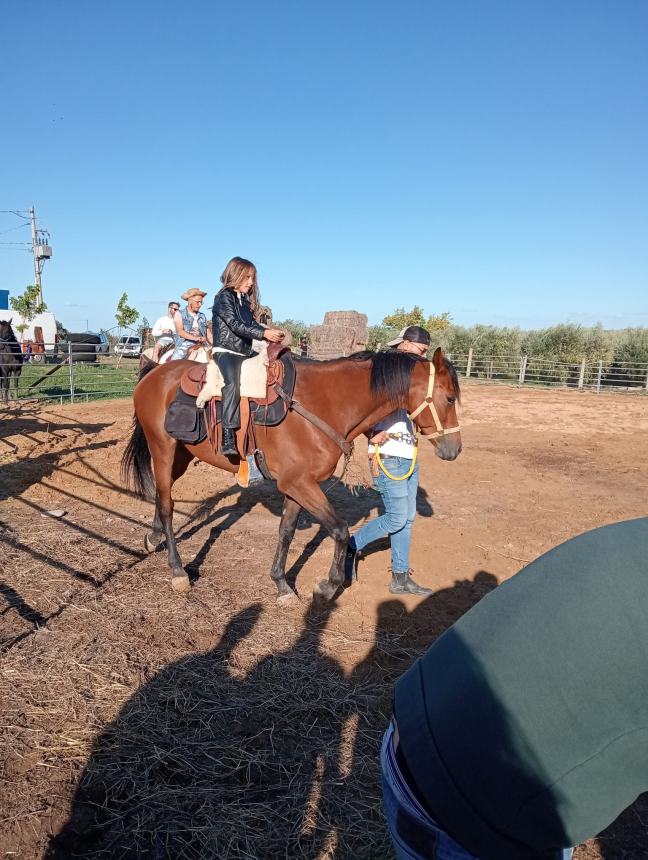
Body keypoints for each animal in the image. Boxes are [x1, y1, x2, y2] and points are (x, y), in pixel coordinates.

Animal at [121, 346, 464, 600]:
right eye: (449, 398)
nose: (455, 449)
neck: (323, 404)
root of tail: (155, 372)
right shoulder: (299, 484)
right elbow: (340, 530)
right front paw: (328, 586)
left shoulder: (297, 486)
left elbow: (286, 531)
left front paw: (281, 584)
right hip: (163, 450)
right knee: (168, 506)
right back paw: (177, 570)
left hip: (180, 456)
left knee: (162, 496)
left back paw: (153, 538)